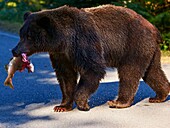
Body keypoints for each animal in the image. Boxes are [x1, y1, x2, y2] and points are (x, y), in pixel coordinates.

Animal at [12, 4, 170, 111]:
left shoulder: (83, 42)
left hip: (134, 44)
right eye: (21, 34)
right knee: (152, 71)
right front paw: (62, 106)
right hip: (150, 50)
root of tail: (153, 28)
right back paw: (159, 96)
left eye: (29, 36)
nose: (15, 51)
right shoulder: (61, 55)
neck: (63, 40)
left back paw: (118, 102)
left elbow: (93, 69)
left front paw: (83, 103)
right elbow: (65, 76)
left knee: (129, 72)